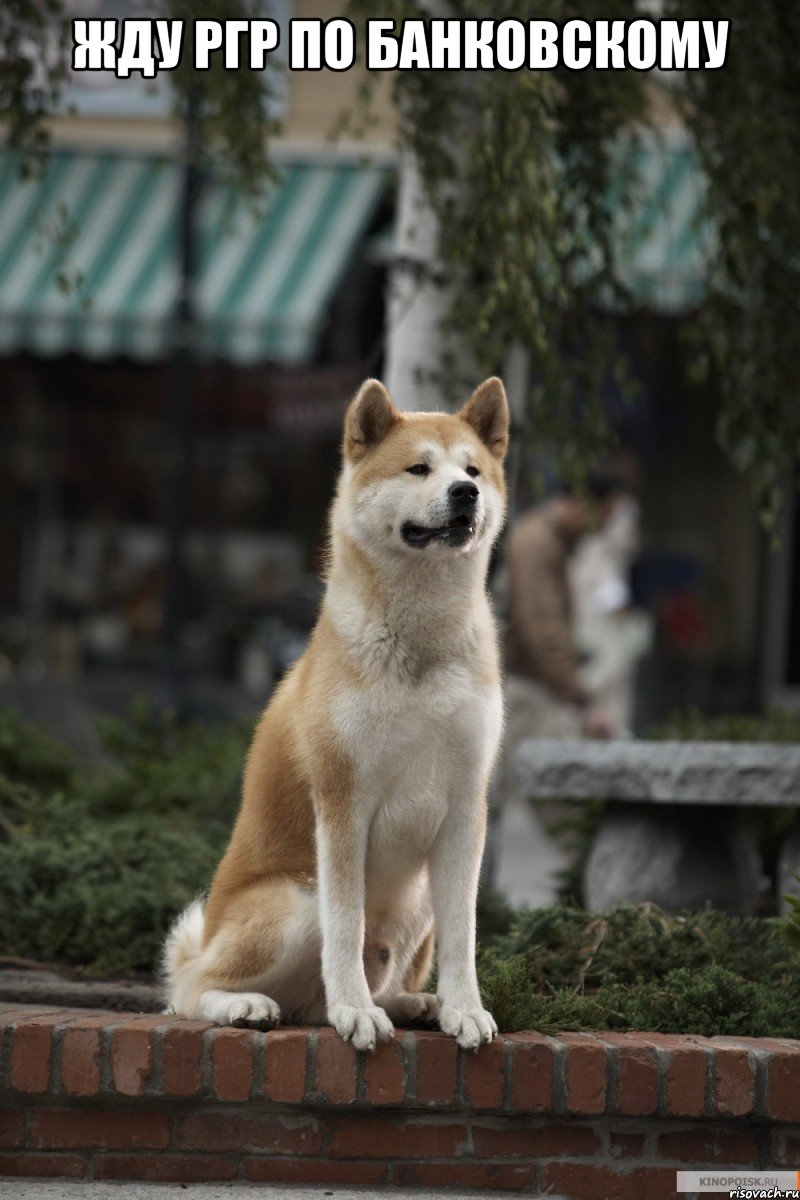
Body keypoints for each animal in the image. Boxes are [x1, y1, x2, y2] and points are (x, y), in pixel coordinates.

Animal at [165, 376, 510, 1051]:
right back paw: (250, 1005)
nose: (466, 493)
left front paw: (464, 1008)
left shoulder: (466, 806)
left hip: (417, 900)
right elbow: (346, 928)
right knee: (189, 990)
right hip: (296, 900)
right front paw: (355, 1011)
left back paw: (415, 1004)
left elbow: (465, 935)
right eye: (418, 468)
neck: (420, 644)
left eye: (473, 470)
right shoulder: (343, 801)